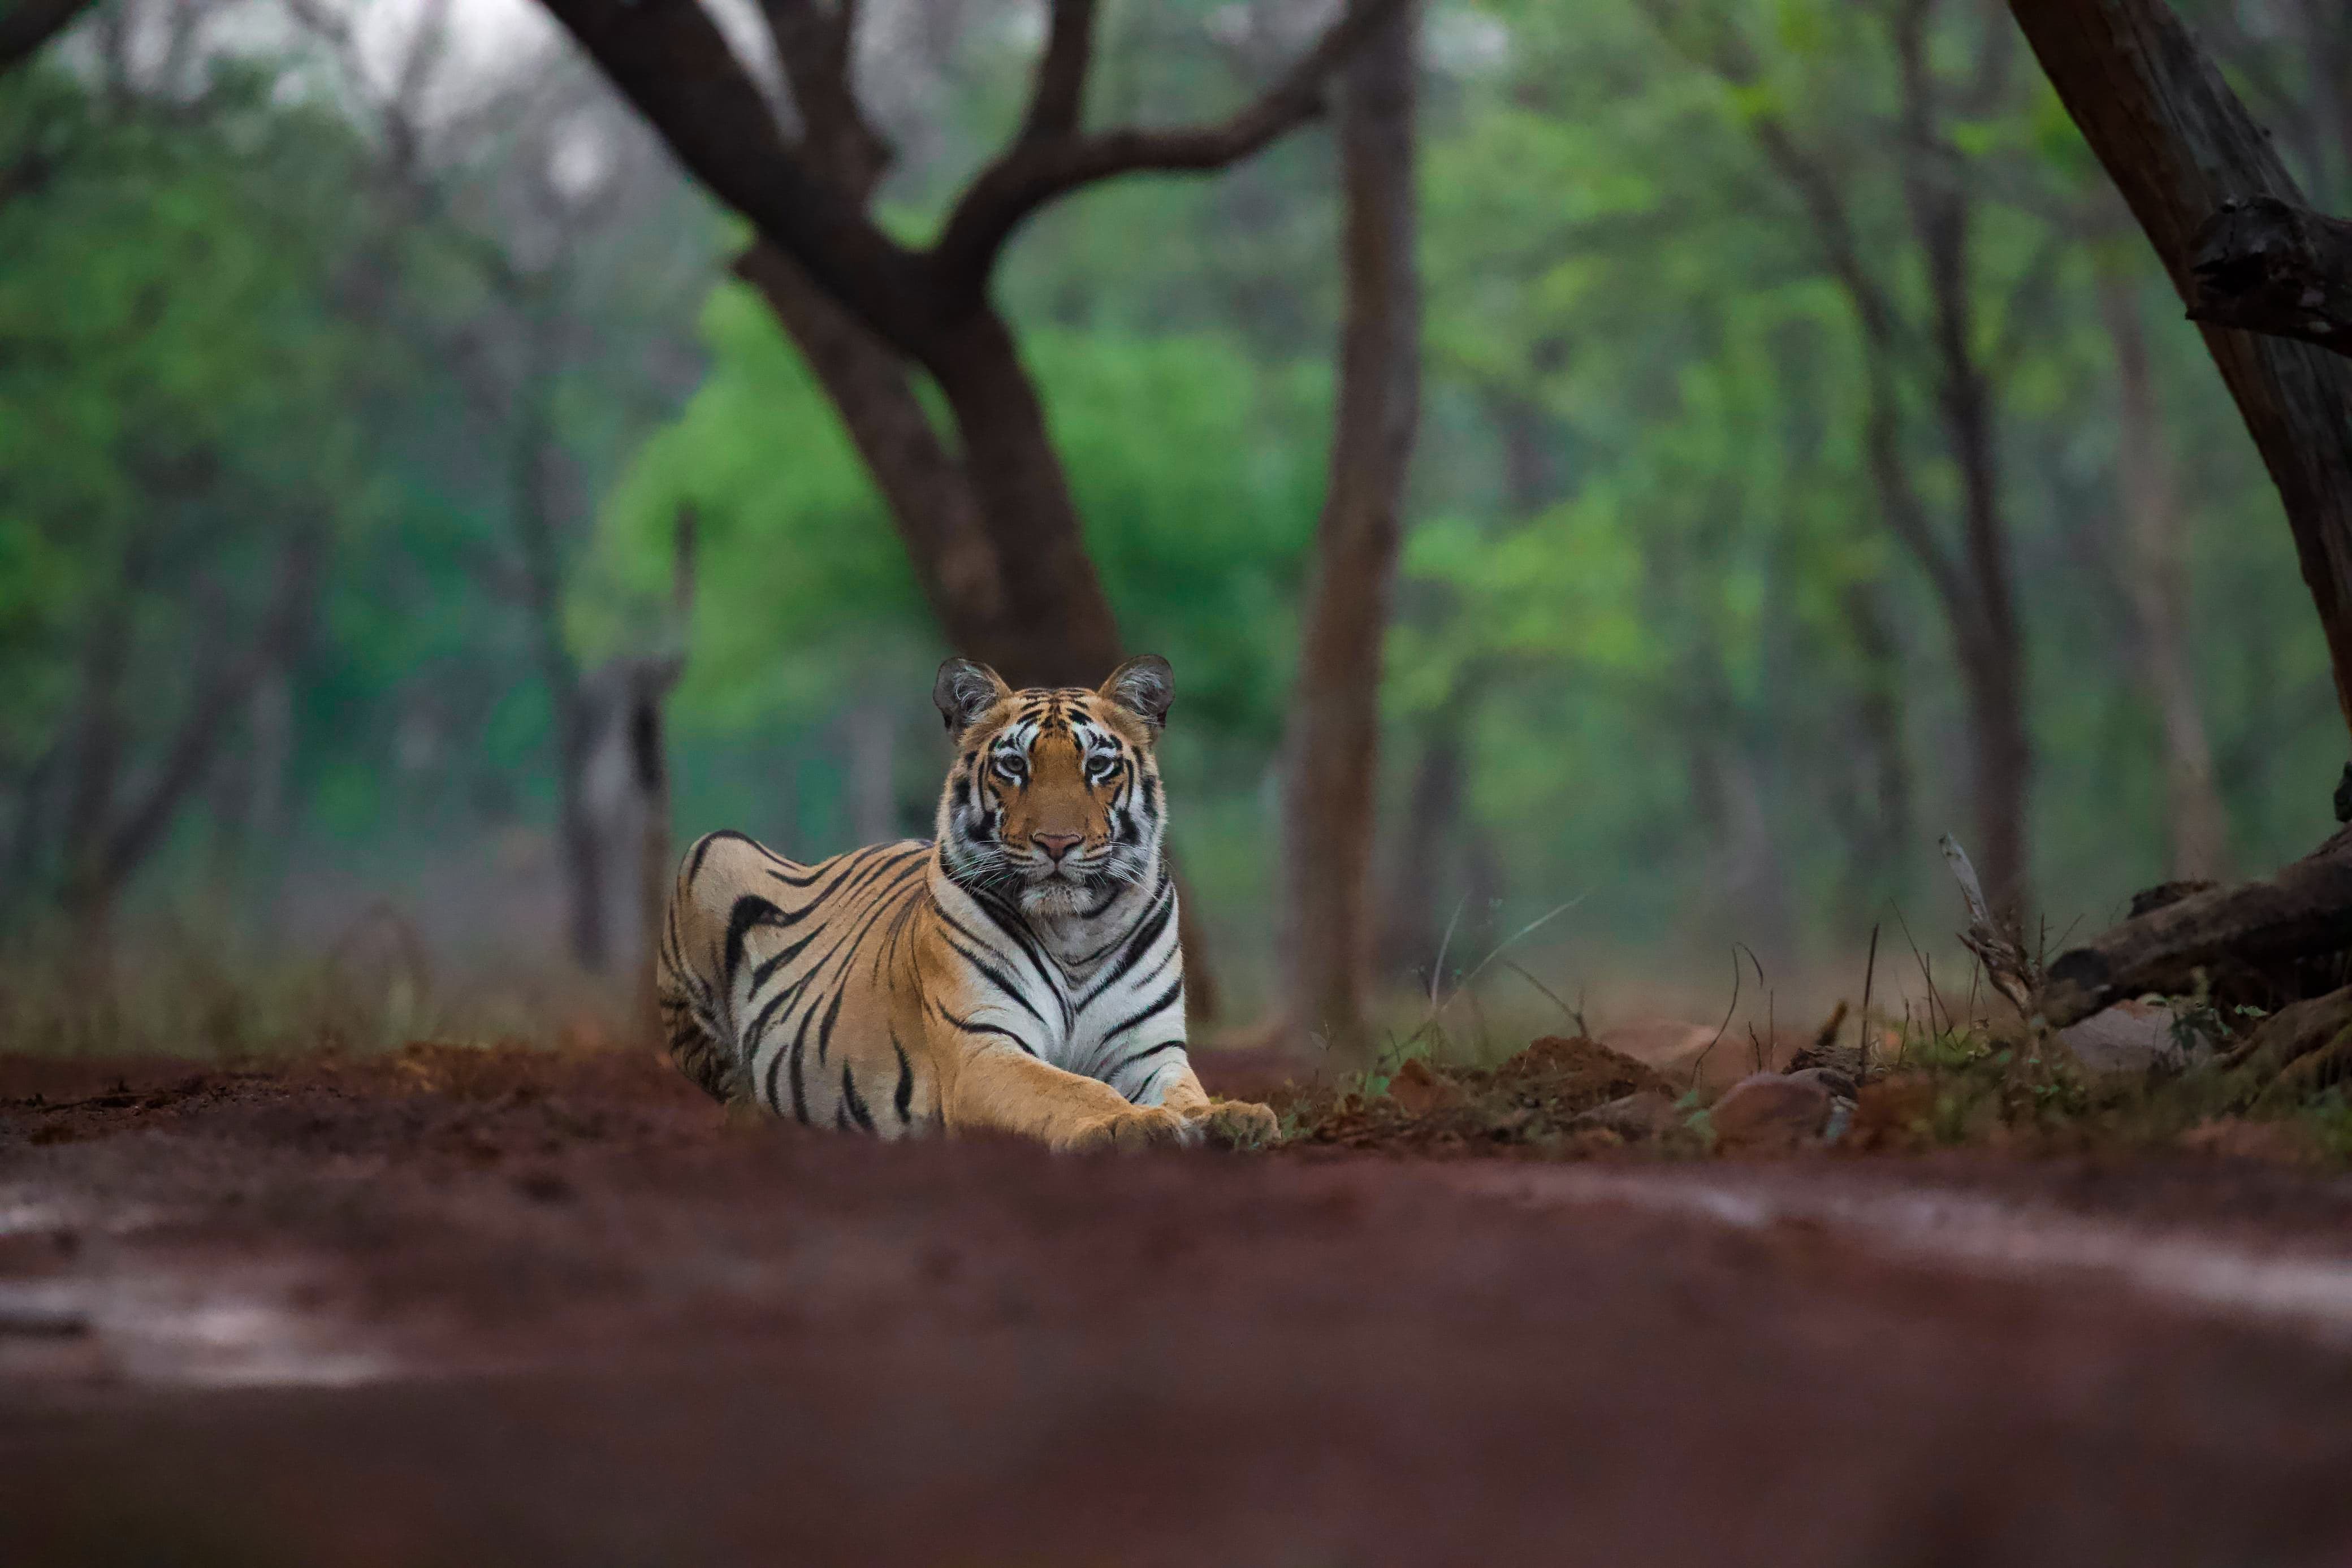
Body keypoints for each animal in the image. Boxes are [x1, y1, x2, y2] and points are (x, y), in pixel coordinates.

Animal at [655, 654, 1281, 1153]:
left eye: (1098, 766)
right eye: (1014, 765)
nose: (1057, 842)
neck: (1075, 929)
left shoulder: (1149, 1052)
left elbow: (1186, 1093)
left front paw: (1232, 1117)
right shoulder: (984, 1048)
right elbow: (1075, 1088)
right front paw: (1135, 1124)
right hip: (711, 852)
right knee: (738, 1095)